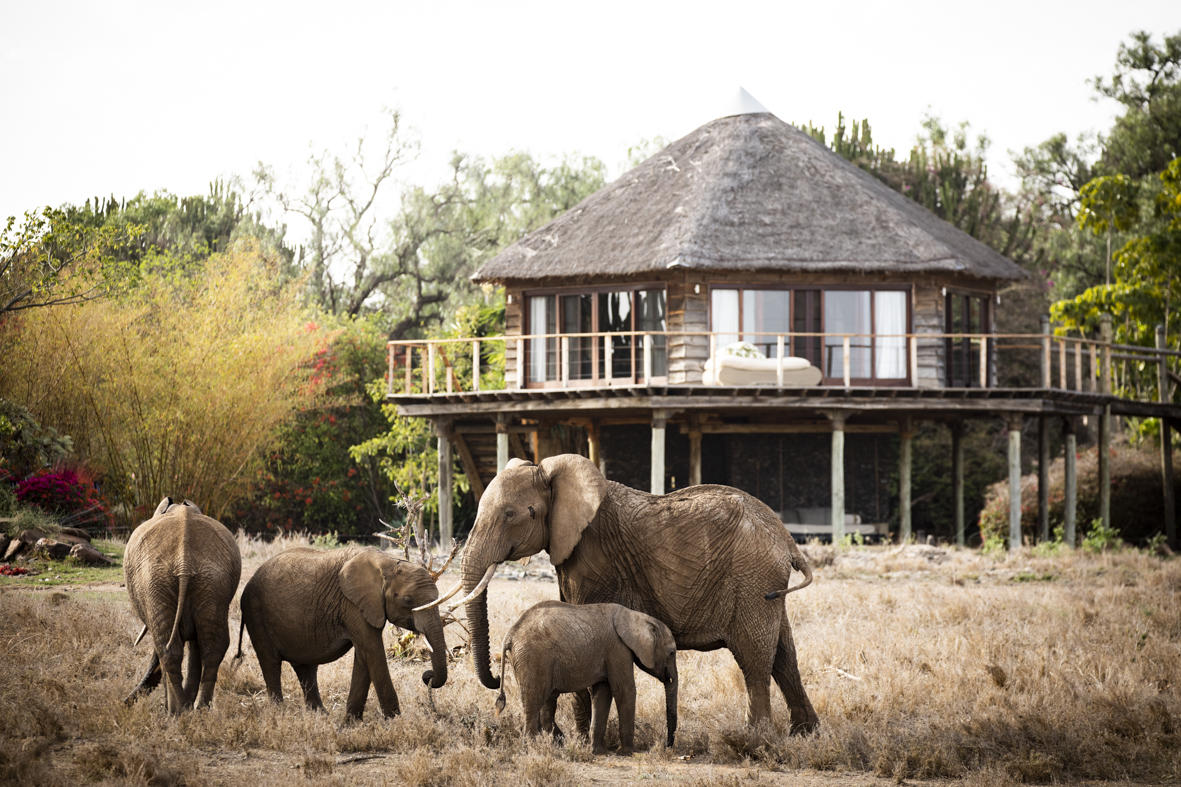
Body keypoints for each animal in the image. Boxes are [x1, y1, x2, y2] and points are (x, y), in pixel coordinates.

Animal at [123, 496, 240, 709]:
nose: (123, 703)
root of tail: (183, 561)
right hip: (211, 582)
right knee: (212, 646)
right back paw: (198, 710)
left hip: (155, 581)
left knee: (166, 647)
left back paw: (178, 712)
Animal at [237, 545, 448, 718]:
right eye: (407, 600)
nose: (427, 676)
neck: (387, 561)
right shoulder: (352, 604)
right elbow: (372, 650)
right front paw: (395, 721)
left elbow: (364, 655)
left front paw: (350, 722)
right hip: (255, 611)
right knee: (270, 662)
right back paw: (279, 713)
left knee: (305, 667)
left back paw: (321, 715)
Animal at [455, 451, 817, 732]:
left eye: (511, 515)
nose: (495, 680)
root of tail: (786, 539)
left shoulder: (594, 556)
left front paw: (579, 738)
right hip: (766, 583)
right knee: (785, 655)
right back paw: (804, 733)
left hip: (753, 578)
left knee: (754, 659)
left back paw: (755, 740)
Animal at [493, 600, 680, 756]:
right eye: (672, 653)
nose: (667, 746)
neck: (636, 616)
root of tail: (510, 634)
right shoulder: (618, 649)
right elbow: (624, 690)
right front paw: (626, 752)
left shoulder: (610, 652)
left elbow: (602, 693)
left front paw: (599, 752)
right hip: (533, 658)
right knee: (533, 702)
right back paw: (532, 749)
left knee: (544, 701)